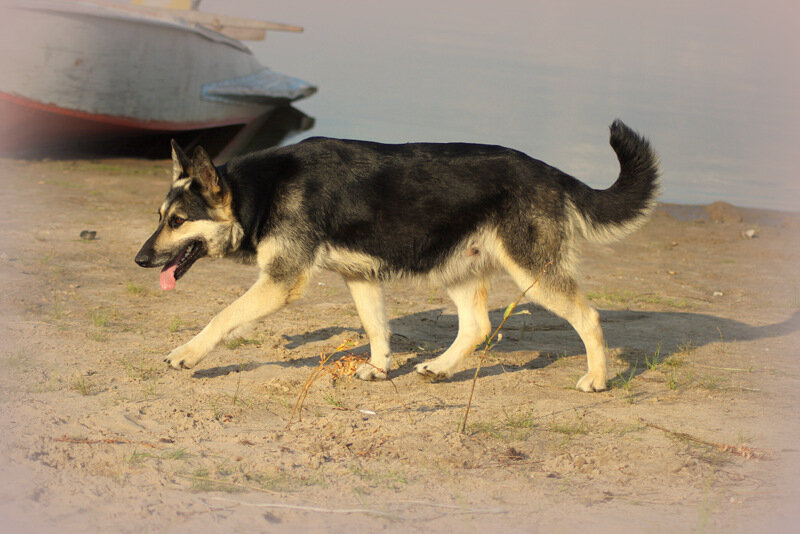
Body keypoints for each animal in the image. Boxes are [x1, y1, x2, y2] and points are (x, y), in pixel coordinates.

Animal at [138, 121, 660, 392]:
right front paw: (381, 366)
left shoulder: (281, 282)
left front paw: (187, 354)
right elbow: (375, 328)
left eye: (177, 222)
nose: (141, 260)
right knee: (477, 327)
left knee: (588, 317)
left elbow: (222, 317)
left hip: (535, 273)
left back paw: (597, 378)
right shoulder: (360, 277)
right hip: (458, 269)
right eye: (160, 216)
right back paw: (440, 368)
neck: (261, 191)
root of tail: (551, 172)